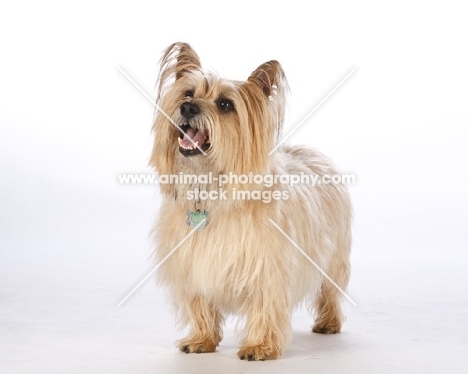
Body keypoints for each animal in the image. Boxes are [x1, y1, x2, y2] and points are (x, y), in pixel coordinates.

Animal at [150, 42, 352, 360]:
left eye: (225, 105)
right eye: (187, 93)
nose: (187, 108)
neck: (214, 191)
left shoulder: (269, 267)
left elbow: (266, 304)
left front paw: (261, 345)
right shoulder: (192, 265)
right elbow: (200, 303)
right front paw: (202, 338)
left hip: (334, 255)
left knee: (330, 290)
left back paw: (329, 322)